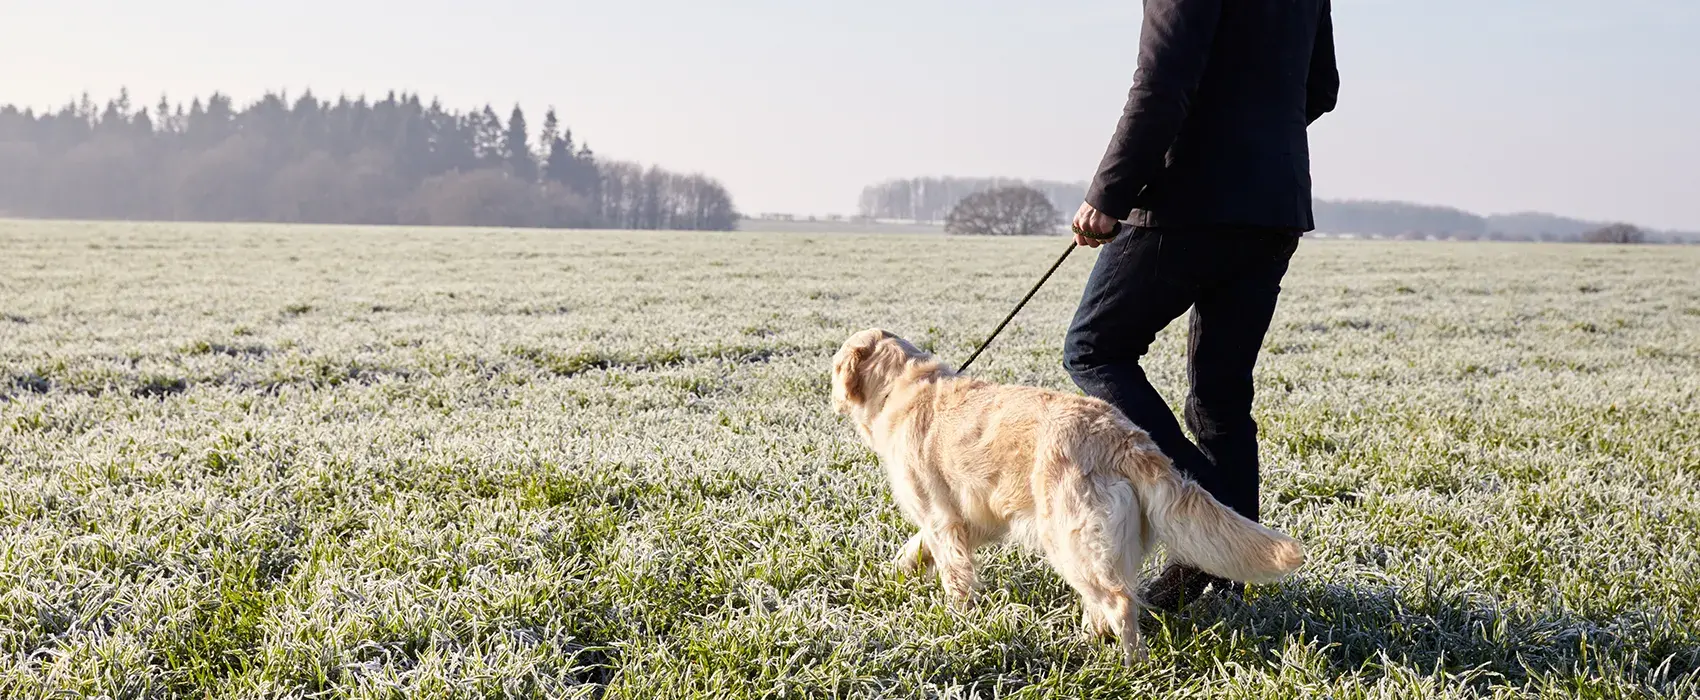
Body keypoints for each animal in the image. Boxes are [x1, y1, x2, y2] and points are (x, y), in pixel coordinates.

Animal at [829, 327, 1305, 662]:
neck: (903, 388)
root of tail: (1124, 436)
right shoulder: (971, 518)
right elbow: (916, 548)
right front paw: (897, 572)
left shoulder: (942, 517)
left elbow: (953, 574)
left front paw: (959, 621)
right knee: (1105, 603)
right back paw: (1088, 644)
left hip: (1068, 538)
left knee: (1118, 603)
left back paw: (1131, 666)